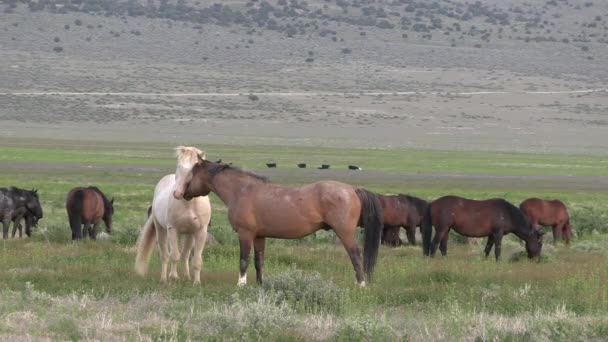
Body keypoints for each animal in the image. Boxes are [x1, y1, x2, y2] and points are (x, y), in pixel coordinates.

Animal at [135, 146, 211, 284]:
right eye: (179, 165)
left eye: (195, 168)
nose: (177, 193)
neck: (189, 203)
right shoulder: (173, 229)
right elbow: (174, 255)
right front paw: (173, 277)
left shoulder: (201, 231)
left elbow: (197, 260)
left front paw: (196, 282)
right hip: (161, 230)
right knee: (165, 256)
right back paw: (164, 279)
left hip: (189, 235)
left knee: (185, 255)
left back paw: (187, 277)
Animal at [171, 159, 382, 288]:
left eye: (191, 174)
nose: (181, 193)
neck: (242, 190)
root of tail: (353, 189)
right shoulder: (259, 236)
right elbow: (259, 262)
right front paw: (260, 284)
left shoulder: (245, 234)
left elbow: (244, 259)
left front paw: (241, 284)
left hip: (344, 233)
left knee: (355, 255)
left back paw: (361, 285)